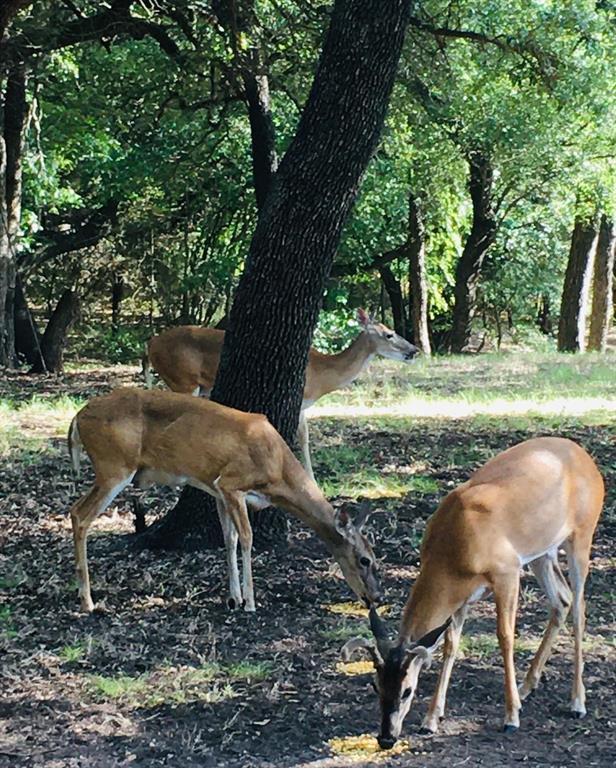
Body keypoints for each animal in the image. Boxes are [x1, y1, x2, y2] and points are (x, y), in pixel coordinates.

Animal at [67, 388, 381, 614]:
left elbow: (229, 538)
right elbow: (247, 537)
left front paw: (234, 598)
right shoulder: (231, 483)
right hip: (114, 466)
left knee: (74, 509)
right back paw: (87, 601)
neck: (277, 467)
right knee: (80, 514)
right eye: (365, 559)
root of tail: (77, 417)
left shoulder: (217, 491)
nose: (376, 597)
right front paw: (250, 602)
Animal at [143, 309, 419, 480]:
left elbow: (304, 437)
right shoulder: (300, 397)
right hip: (182, 378)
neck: (322, 373)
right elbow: (299, 436)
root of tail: (150, 343)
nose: (414, 350)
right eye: (389, 334)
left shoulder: (303, 404)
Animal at [341, 437, 604, 749]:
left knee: (579, 608)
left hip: (582, 535)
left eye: (407, 690)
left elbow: (505, 637)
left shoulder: (507, 571)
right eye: (375, 685)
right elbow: (450, 645)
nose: (386, 738)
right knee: (562, 600)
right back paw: (527, 687)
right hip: (542, 553)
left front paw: (511, 717)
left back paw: (577, 702)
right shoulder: (461, 595)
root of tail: (585, 457)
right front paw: (431, 719)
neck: (455, 548)